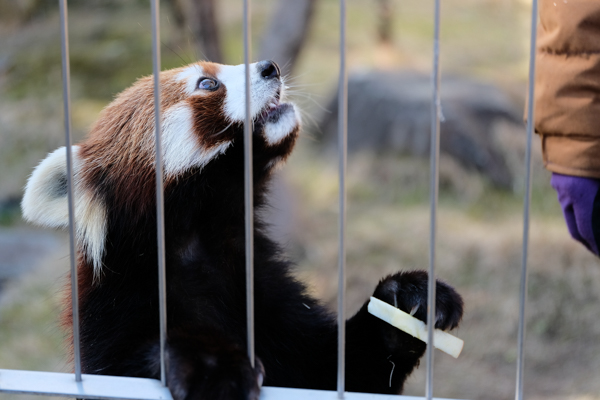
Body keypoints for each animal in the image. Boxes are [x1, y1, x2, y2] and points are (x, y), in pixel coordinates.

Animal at [21, 60, 464, 400]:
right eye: (207, 83)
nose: (271, 66)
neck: (202, 238)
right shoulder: (111, 315)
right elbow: (129, 364)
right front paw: (213, 366)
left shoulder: (268, 296)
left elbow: (345, 371)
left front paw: (408, 299)